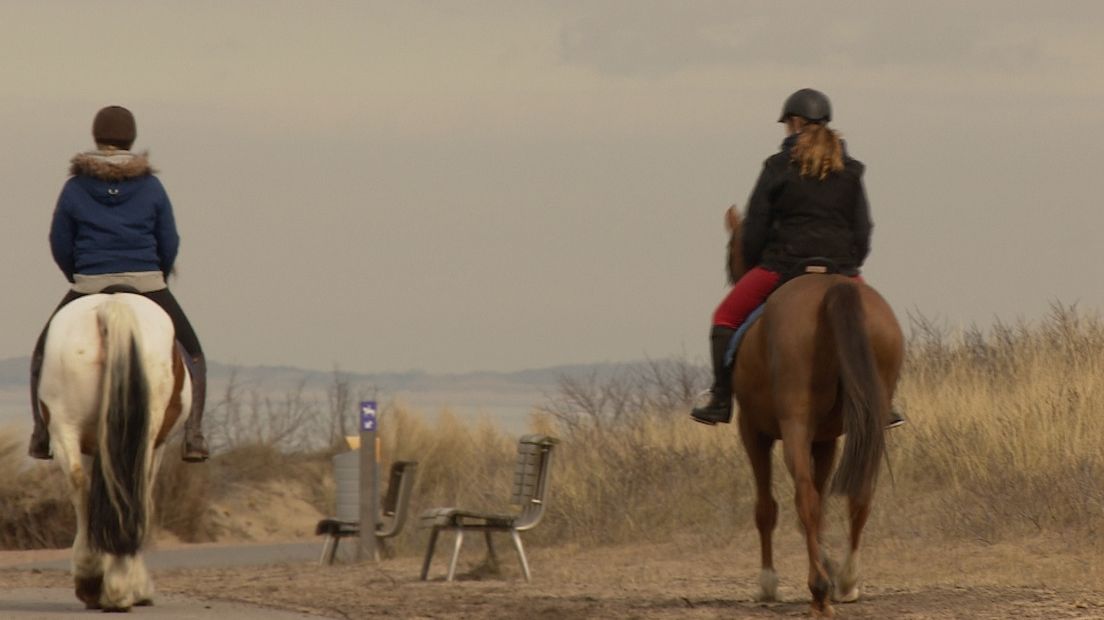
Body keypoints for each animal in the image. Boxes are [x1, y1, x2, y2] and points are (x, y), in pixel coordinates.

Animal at [38, 291, 189, 608]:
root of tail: (112, 304)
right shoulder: (157, 446)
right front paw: (137, 587)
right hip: (144, 437)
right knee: (134, 492)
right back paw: (117, 587)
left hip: (65, 427)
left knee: (81, 485)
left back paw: (94, 579)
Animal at [724, 206, 905, 613]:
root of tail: (831, 290)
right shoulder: (825, 440)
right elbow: (823, 505)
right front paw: (829, 562)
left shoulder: (753, 432)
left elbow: (767, 508)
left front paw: (768, 584)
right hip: (865, 422)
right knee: (859, 493)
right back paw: (848, 581)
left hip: (793, 425)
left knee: (803, 497)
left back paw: (820, 590)